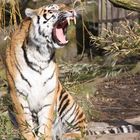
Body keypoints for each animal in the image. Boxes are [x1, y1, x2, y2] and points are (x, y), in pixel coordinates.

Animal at [5, 2, 136, 140]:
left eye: (65, 5)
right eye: (53, 9)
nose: (72, 11)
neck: (41, 53)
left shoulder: (49, 91)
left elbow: (45, 122)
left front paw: (44, 136)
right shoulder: (18, 93)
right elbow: (25, 122)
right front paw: (29, 136)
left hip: (68, 103)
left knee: (80, 129)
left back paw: (67, 135)